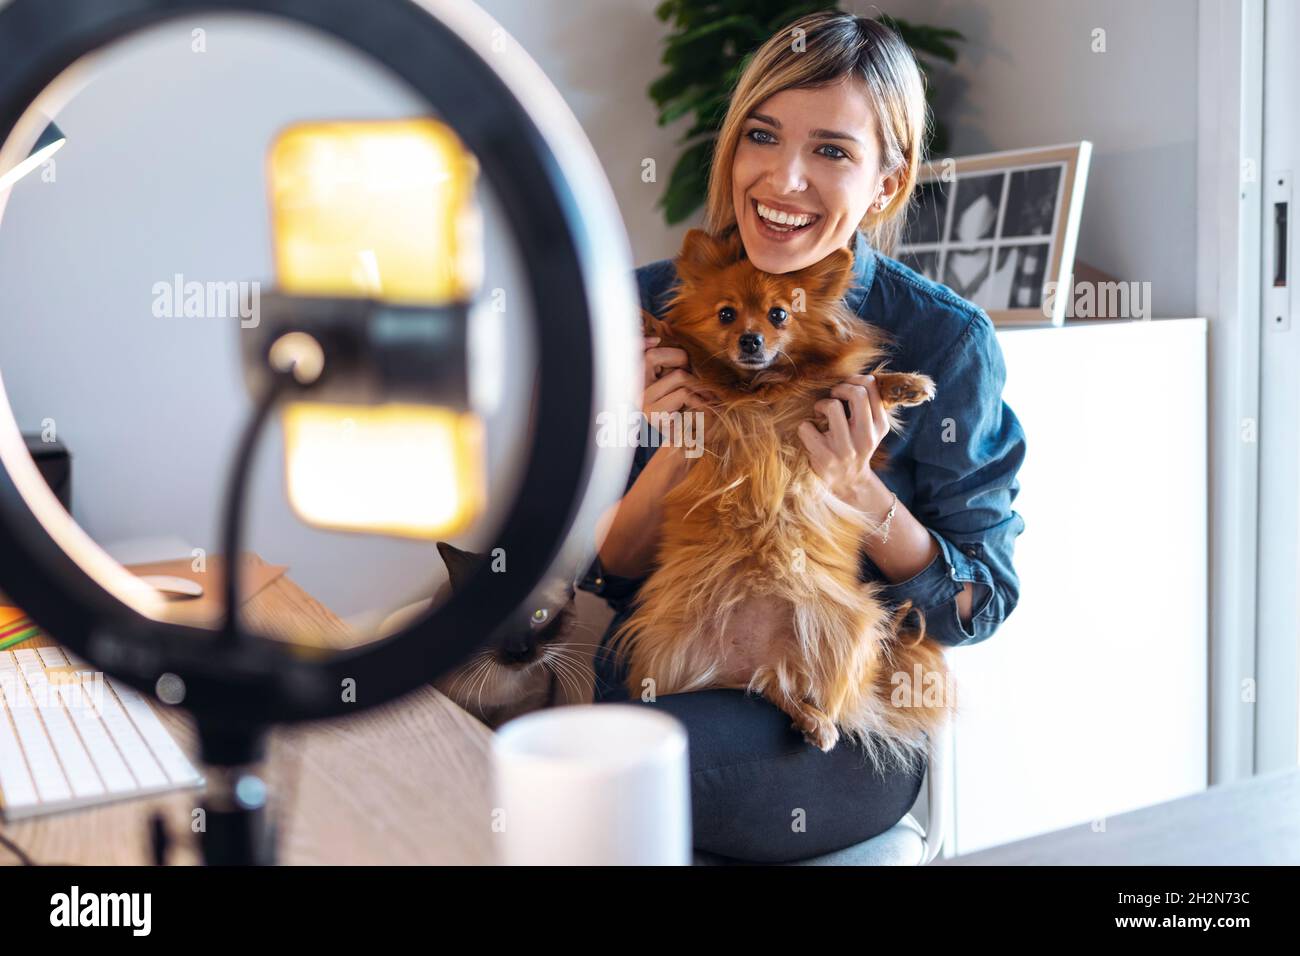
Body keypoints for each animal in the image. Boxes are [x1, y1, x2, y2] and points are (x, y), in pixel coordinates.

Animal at [608, 231, 956, 780]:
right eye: (726, 315)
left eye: (779, 315)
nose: (750, 341)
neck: (760, 389)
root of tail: (747, 663)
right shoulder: (706, 409)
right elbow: (674, 343)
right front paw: (644, 321)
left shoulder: (819, 407)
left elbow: (860, 384)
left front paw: (905, 385)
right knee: (776, 691)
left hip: (852, 626)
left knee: (806, 691)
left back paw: (819, 722)